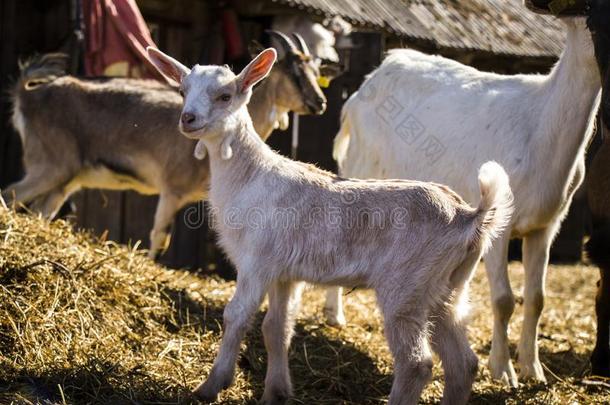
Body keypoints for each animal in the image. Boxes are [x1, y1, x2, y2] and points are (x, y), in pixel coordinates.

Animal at [148, 45, 512, 404]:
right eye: (183, 91)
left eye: (225, 95)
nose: (188, 119)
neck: (251, 175)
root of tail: (469, 216)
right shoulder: (284, 273)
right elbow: (276, 328)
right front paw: (276, 392)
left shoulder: (257, 262)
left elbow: (236, 316)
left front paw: (211, 385)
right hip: (447, 289)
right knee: (463, 362)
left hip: (406, 287)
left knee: (416, 363)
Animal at [330, 14, 596, 386]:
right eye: (590, 21)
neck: (542, 124)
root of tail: (368, 82)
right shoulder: (501, 224)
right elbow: (503, 300)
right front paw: (502, 371)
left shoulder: (547, 225)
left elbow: (537, 299)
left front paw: (533, 370)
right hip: (360, 168)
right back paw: (334, 315)